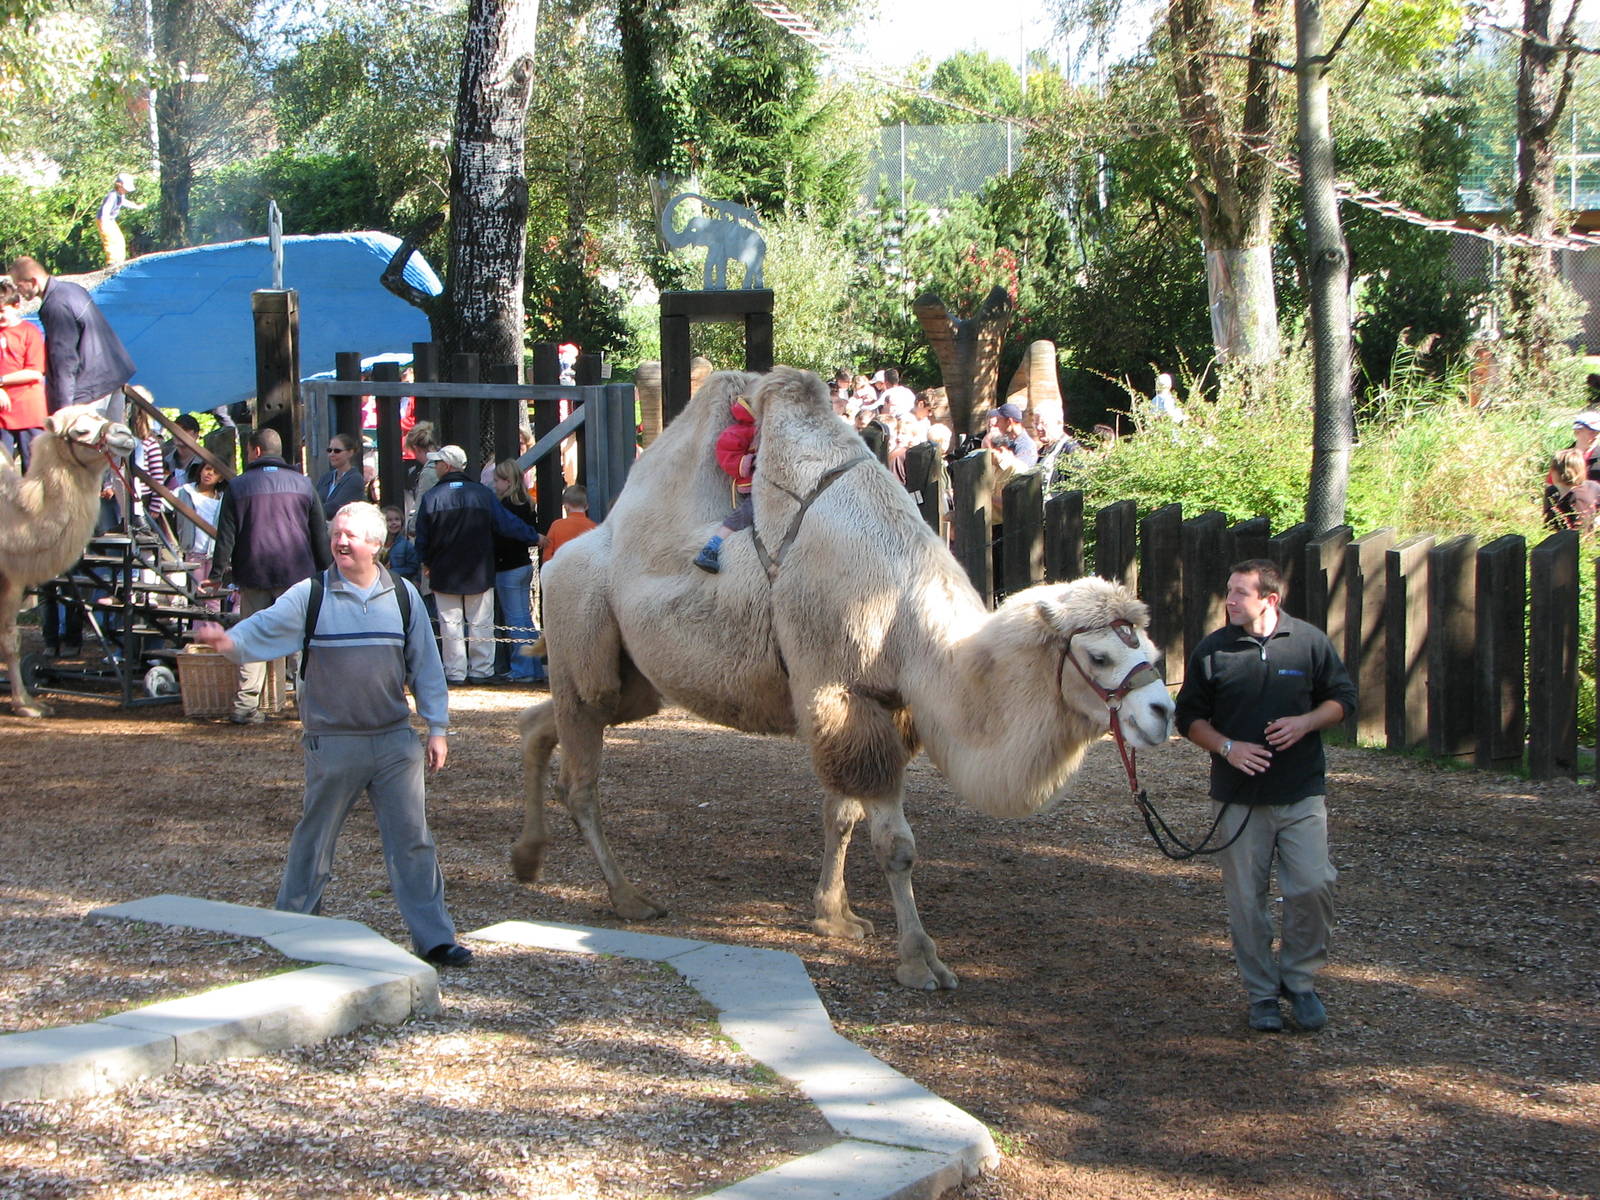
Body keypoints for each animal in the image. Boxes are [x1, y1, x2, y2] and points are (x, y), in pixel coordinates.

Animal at [513, 367, 1174, 989]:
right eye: (1099, 657)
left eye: (1149, 646)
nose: (1162, 713)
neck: (905, 610)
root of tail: (559, 556)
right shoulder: (838, 692)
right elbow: (895, 845)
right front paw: (920, 960)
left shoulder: (881, 705)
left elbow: (843, 815)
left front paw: (834, 917)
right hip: (583, 643)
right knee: (580, 780)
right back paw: (628, 897)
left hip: (632, 683)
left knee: (543, 723)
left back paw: (527, 857)